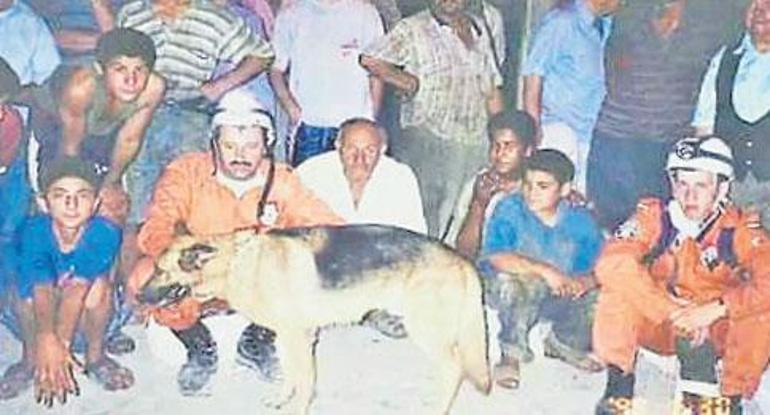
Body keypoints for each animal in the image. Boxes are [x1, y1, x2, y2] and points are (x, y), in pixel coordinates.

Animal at [140, 226, 486, 414]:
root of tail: (460, 259)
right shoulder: (288, 336)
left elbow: (304, 381)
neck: (237, 262)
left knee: (454, 368)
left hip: (427, 331)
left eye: (159, 270)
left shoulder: (298, 337)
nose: (138, 296)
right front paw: (281, 400)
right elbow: (291, 376)